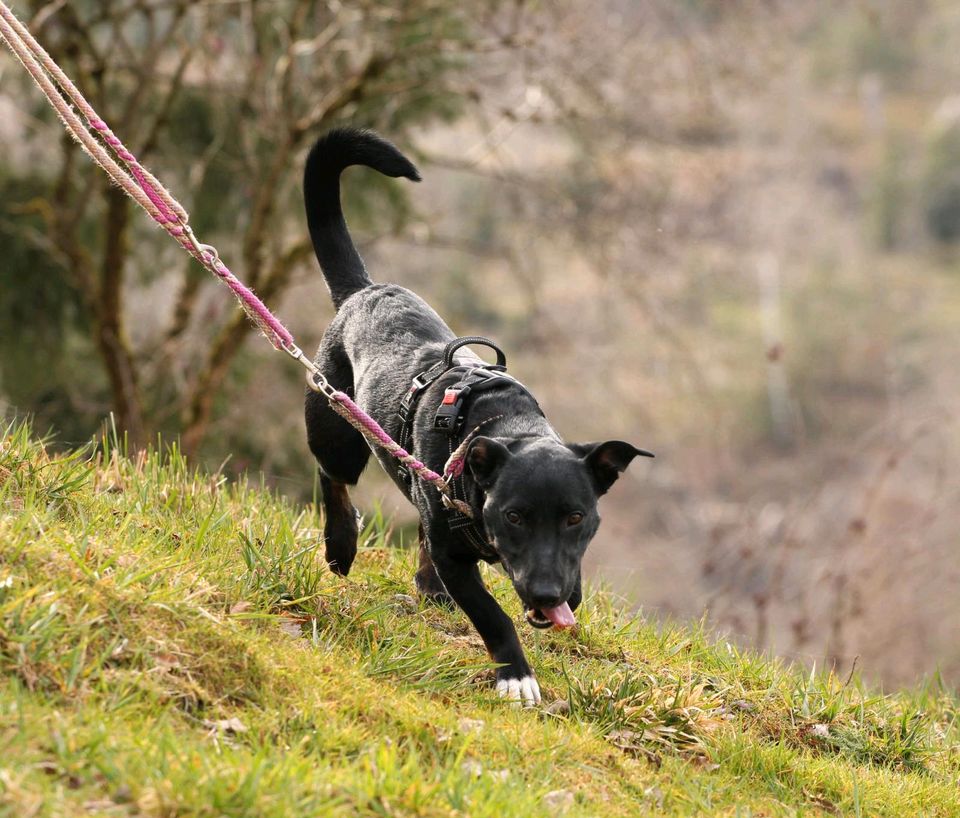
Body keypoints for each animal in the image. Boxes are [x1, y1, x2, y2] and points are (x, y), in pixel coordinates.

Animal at [308, 127, 652, 700]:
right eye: (513, 516)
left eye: (577, 518)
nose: (547, 594)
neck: (504, 426)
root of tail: (364, 291)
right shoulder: (457, 557)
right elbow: (491, 613)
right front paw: (516, 676)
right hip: (335, 425)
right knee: (333, 477)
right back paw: (341, 544)